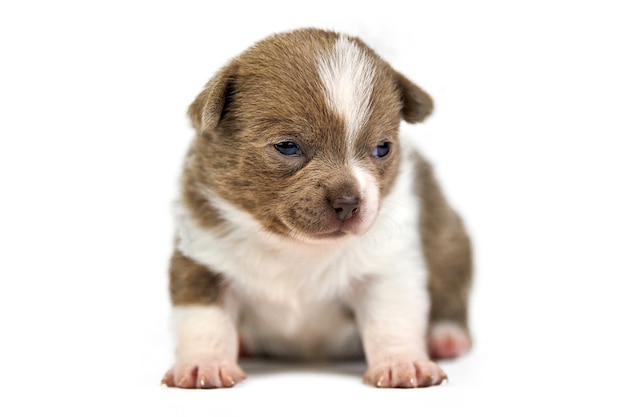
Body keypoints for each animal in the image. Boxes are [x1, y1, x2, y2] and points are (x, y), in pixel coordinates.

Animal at [161, 28, 468, 386]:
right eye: (287, 146)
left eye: (382, 148)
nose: (348, 202)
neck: (295, 246)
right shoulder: (202, 262)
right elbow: (203, 321)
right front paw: (203, 364)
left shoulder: (387, 268)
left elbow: (393, 318)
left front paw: (402, 362)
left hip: (450, 240)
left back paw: (446, 335)